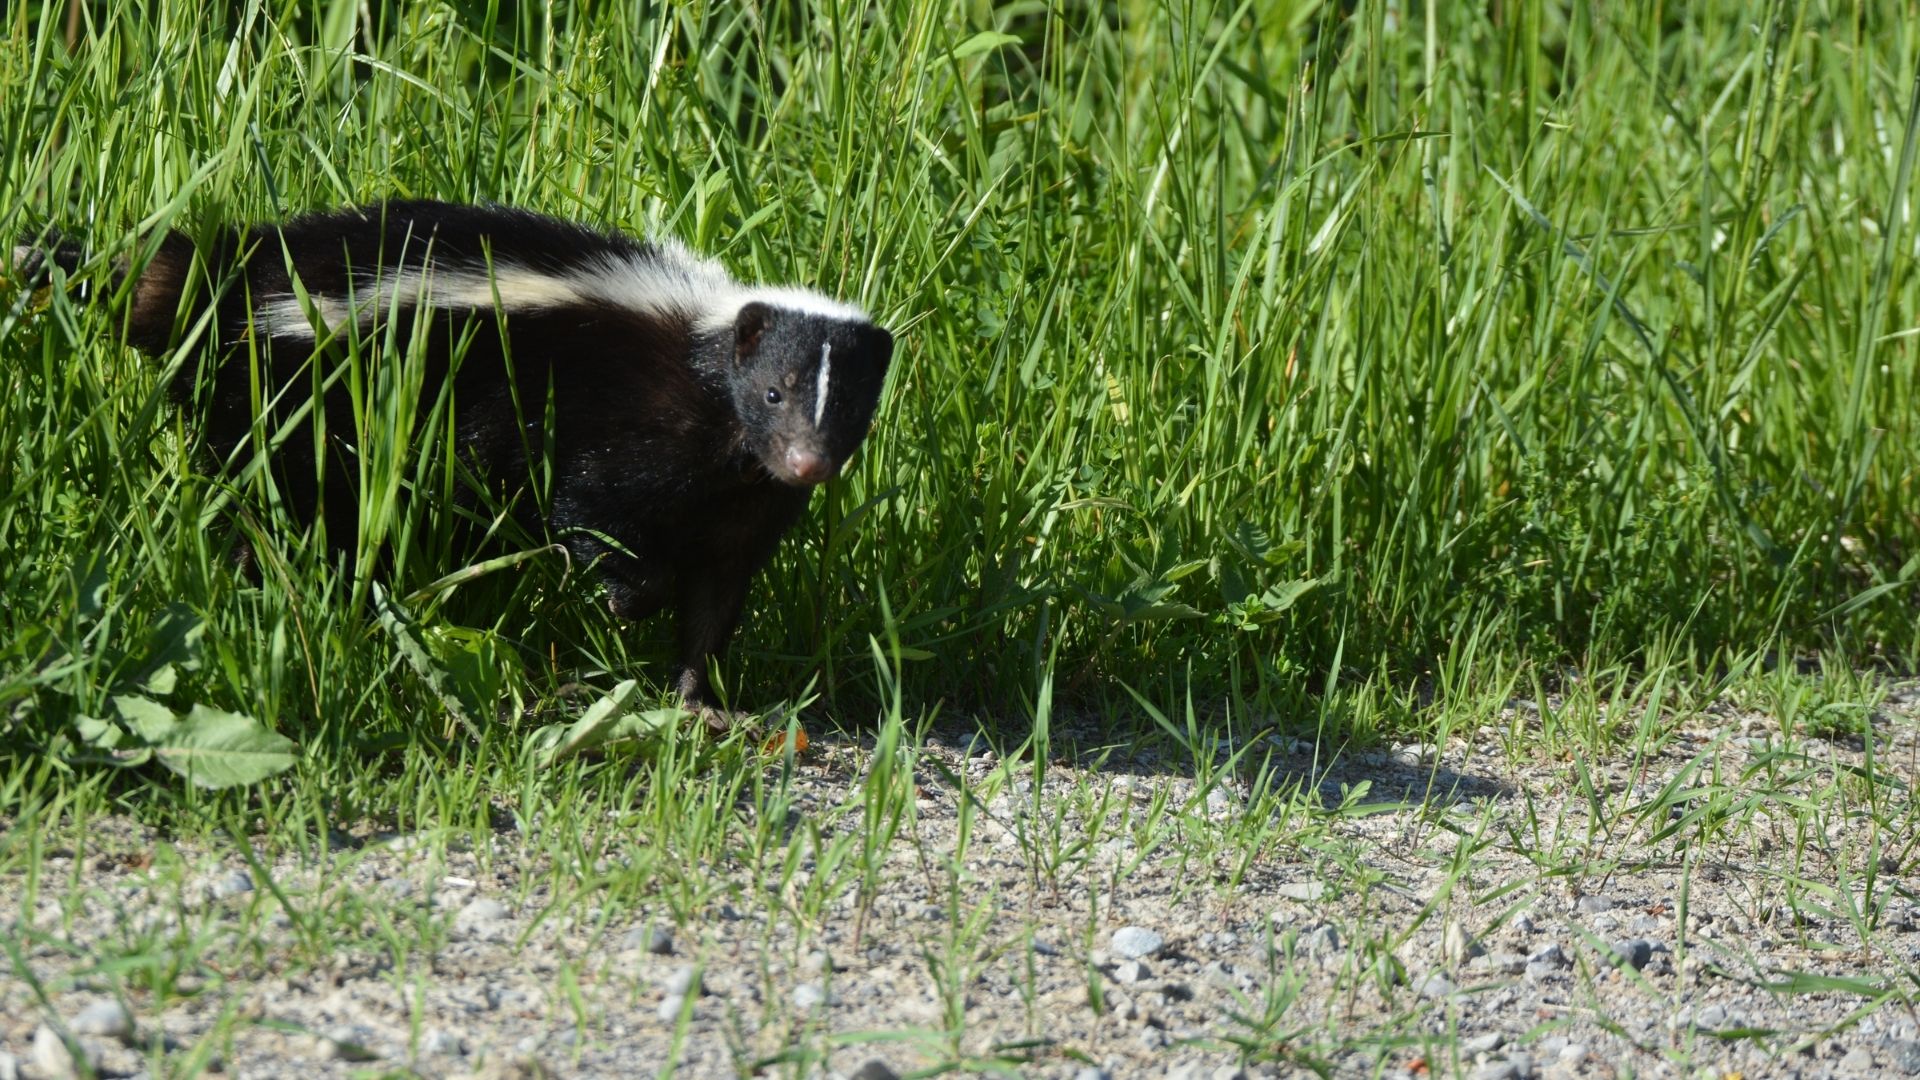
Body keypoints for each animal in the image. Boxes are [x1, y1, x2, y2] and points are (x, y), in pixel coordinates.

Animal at [15, 201, 890, 714]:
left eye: (848, 408)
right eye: (772, 393)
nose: (807, 464)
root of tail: (220, 277)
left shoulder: (742, 504)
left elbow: (716, 596)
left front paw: (698, 698)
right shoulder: (625, 422)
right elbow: (590, 504)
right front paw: (622, 601)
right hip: (293, 394)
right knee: (272, 498)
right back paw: (269, 582)